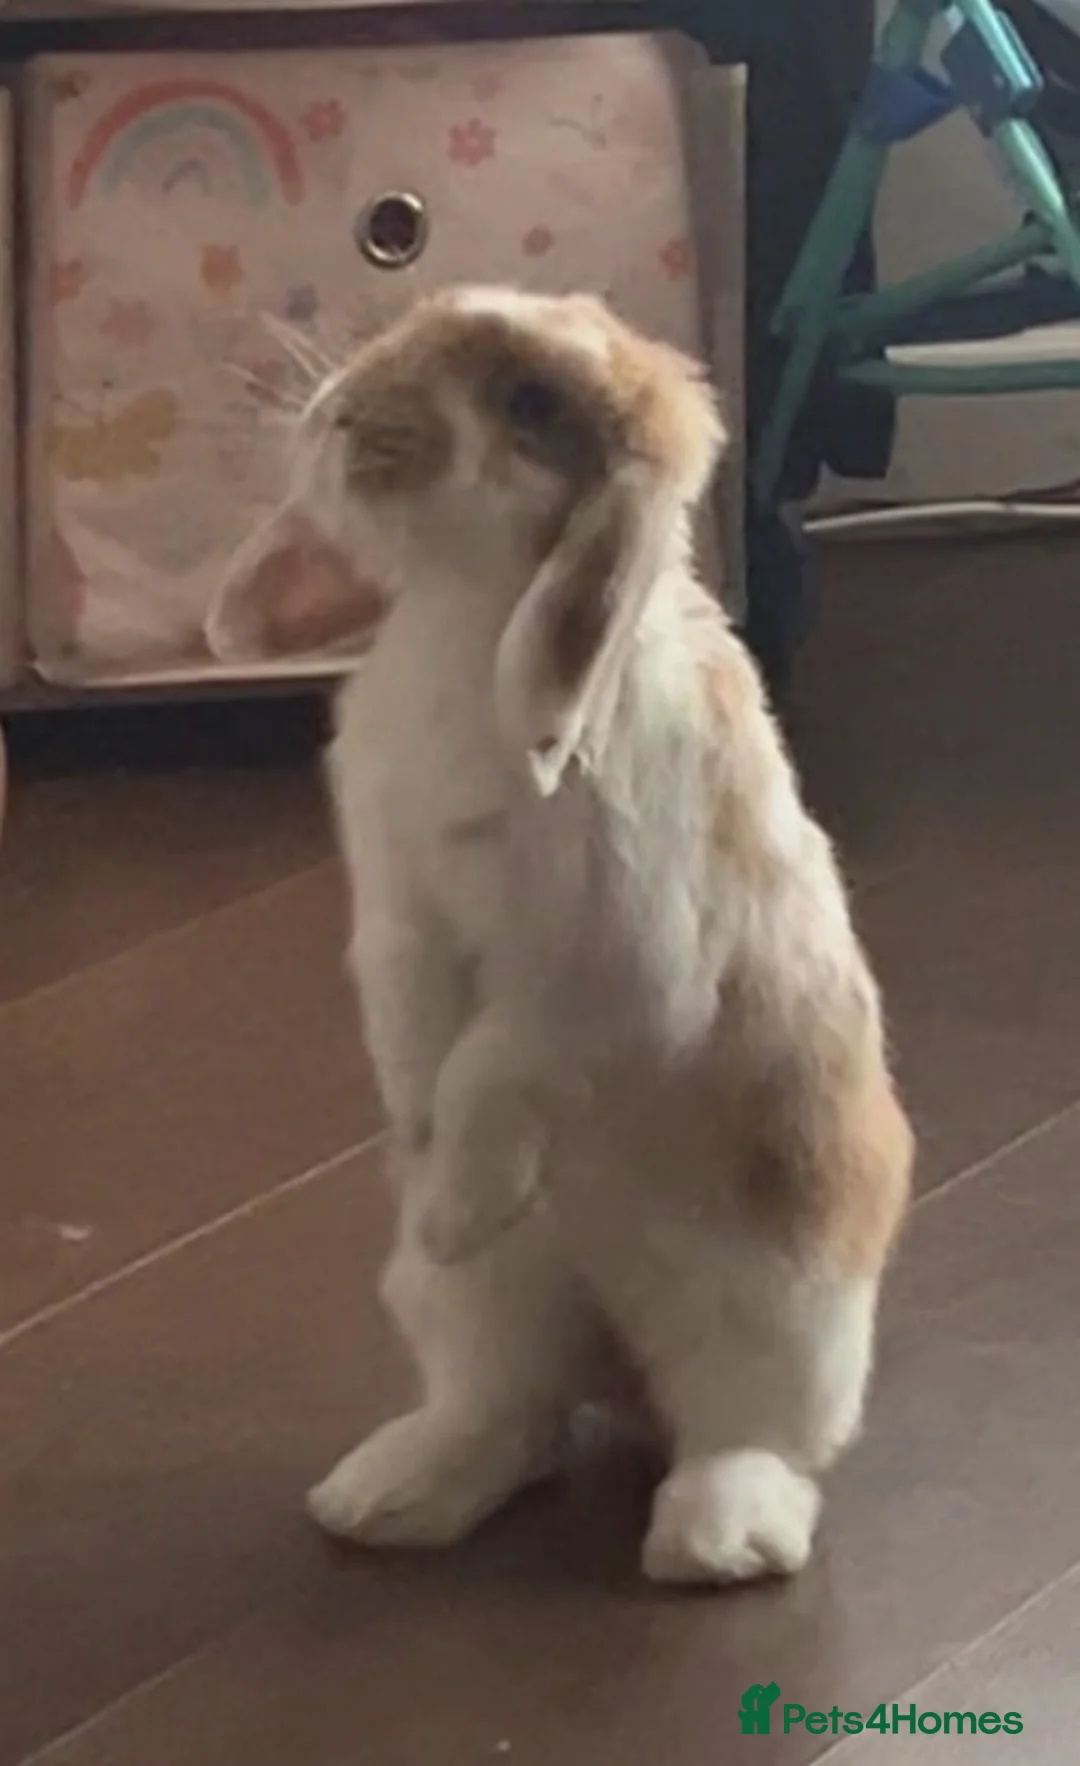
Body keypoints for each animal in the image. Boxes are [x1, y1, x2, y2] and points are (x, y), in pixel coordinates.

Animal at [206, 285, 913, 1585]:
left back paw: (715, 1539)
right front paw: (416, 1143)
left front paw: (451, 1200)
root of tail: (618, 1368)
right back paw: (385, 1494)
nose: (337, 417)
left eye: (528, 403)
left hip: (779, 1307)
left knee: (753, 1431)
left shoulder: (616, 970)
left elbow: (496, 1061)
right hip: (475, 1307)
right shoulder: (397, 915)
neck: (468, 617)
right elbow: (418, 1028)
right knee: (511, 1411)